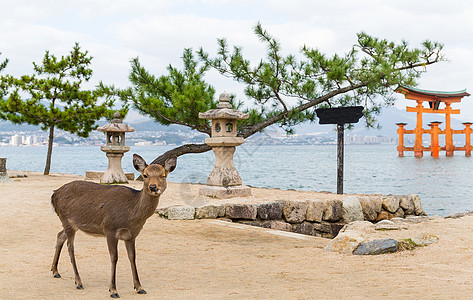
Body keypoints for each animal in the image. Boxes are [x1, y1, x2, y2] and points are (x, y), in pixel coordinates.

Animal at [49, 154, 176, 298]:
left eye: (163, 175)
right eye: (145, 175)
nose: (153, 187)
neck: (131, 216)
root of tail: (54, 194)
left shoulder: (131, 235)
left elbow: (132, 257)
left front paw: (139, 287)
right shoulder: (110, 229)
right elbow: (114, 257)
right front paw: (113, 290)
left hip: (72, 224)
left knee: (60, 235)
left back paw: (55, 271)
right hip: (66, 219)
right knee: (70, 247)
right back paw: (78, 282)